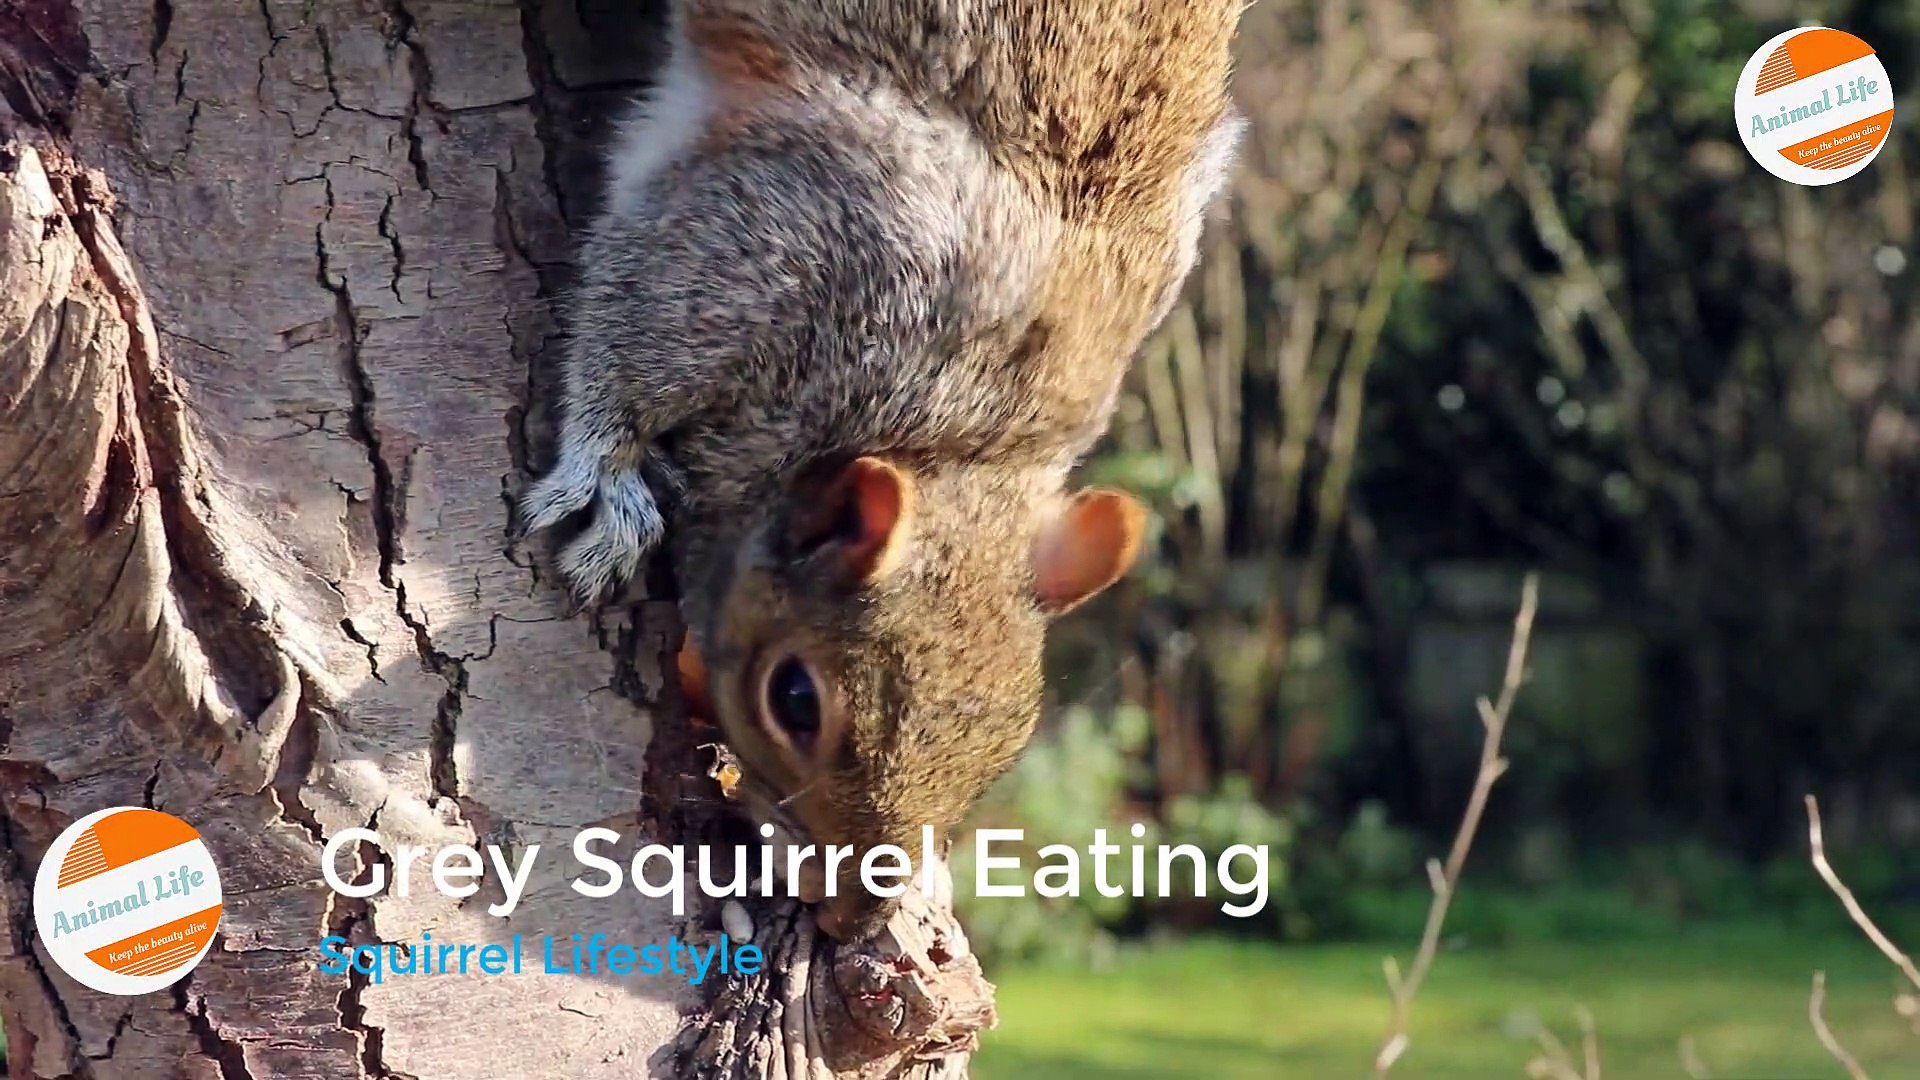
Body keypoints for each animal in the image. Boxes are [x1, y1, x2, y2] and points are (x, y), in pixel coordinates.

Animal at [520, 0, 1244, 943]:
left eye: (1009, 742)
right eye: (794, 700)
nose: (851, 919)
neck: (962, 440)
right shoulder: (771, 238)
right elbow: (632, 336)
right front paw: (605, 479)